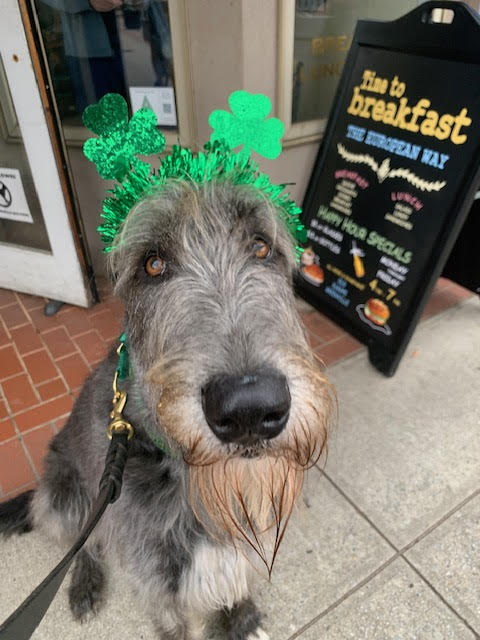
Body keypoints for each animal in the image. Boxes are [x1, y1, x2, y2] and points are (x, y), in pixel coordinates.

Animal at [0, 179, 332, 639]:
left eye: (262, 246)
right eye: (153, 264)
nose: (249, 410)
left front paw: (241, 620)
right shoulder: (156, 581)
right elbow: (171, 622)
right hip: (65, 495)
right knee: (83, 541)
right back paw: (84, 583)